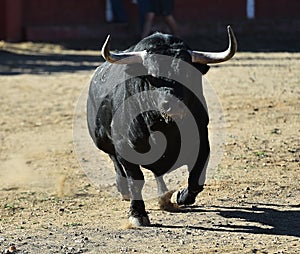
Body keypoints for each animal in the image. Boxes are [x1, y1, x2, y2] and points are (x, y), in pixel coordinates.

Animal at [86, 26, 237, 226]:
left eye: (188, 74)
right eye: (152, 76)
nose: (172, 104)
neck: (163, 127)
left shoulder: (202, 144)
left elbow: (196, 179)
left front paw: (180, 196)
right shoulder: (124, 146)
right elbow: (136, 180)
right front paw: (137, 214)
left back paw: (164, 197)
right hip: (102, 140)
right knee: (115, 160)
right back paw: (124, 190)